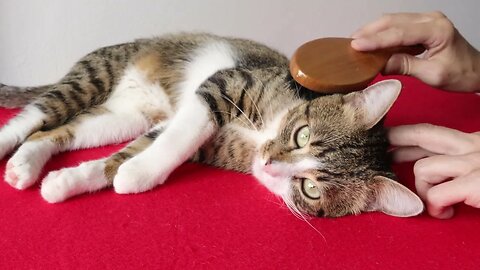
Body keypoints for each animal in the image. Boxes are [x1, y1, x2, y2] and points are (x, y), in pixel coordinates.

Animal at [0, 32, 424, 217]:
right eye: (302, 134)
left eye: (311, 189)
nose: (269, 163)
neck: (264, 131)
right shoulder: (225, 83)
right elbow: (181, 135)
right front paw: (140, 173)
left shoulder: (207, 143)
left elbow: (127, 155)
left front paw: (83, 179)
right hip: (95, 75)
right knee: (37, 115)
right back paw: (11, 145)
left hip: (125, 116)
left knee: (56, 131)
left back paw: (26, 166)